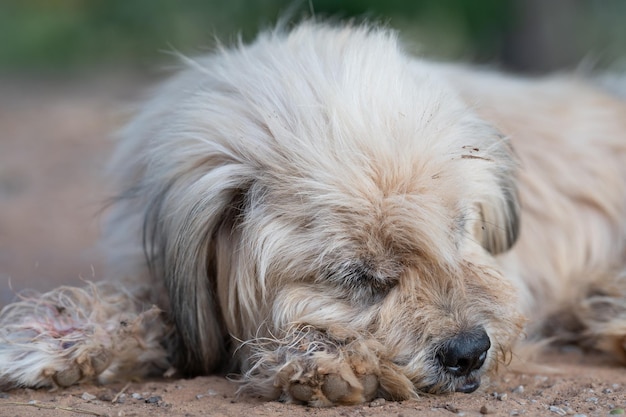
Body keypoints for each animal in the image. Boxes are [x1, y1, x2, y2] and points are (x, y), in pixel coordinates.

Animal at [1, 21, 624, 404]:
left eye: (460, 232)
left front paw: (327, 360)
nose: (470, 353)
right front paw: (60, 333)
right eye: (358, 278)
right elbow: (148, 307)